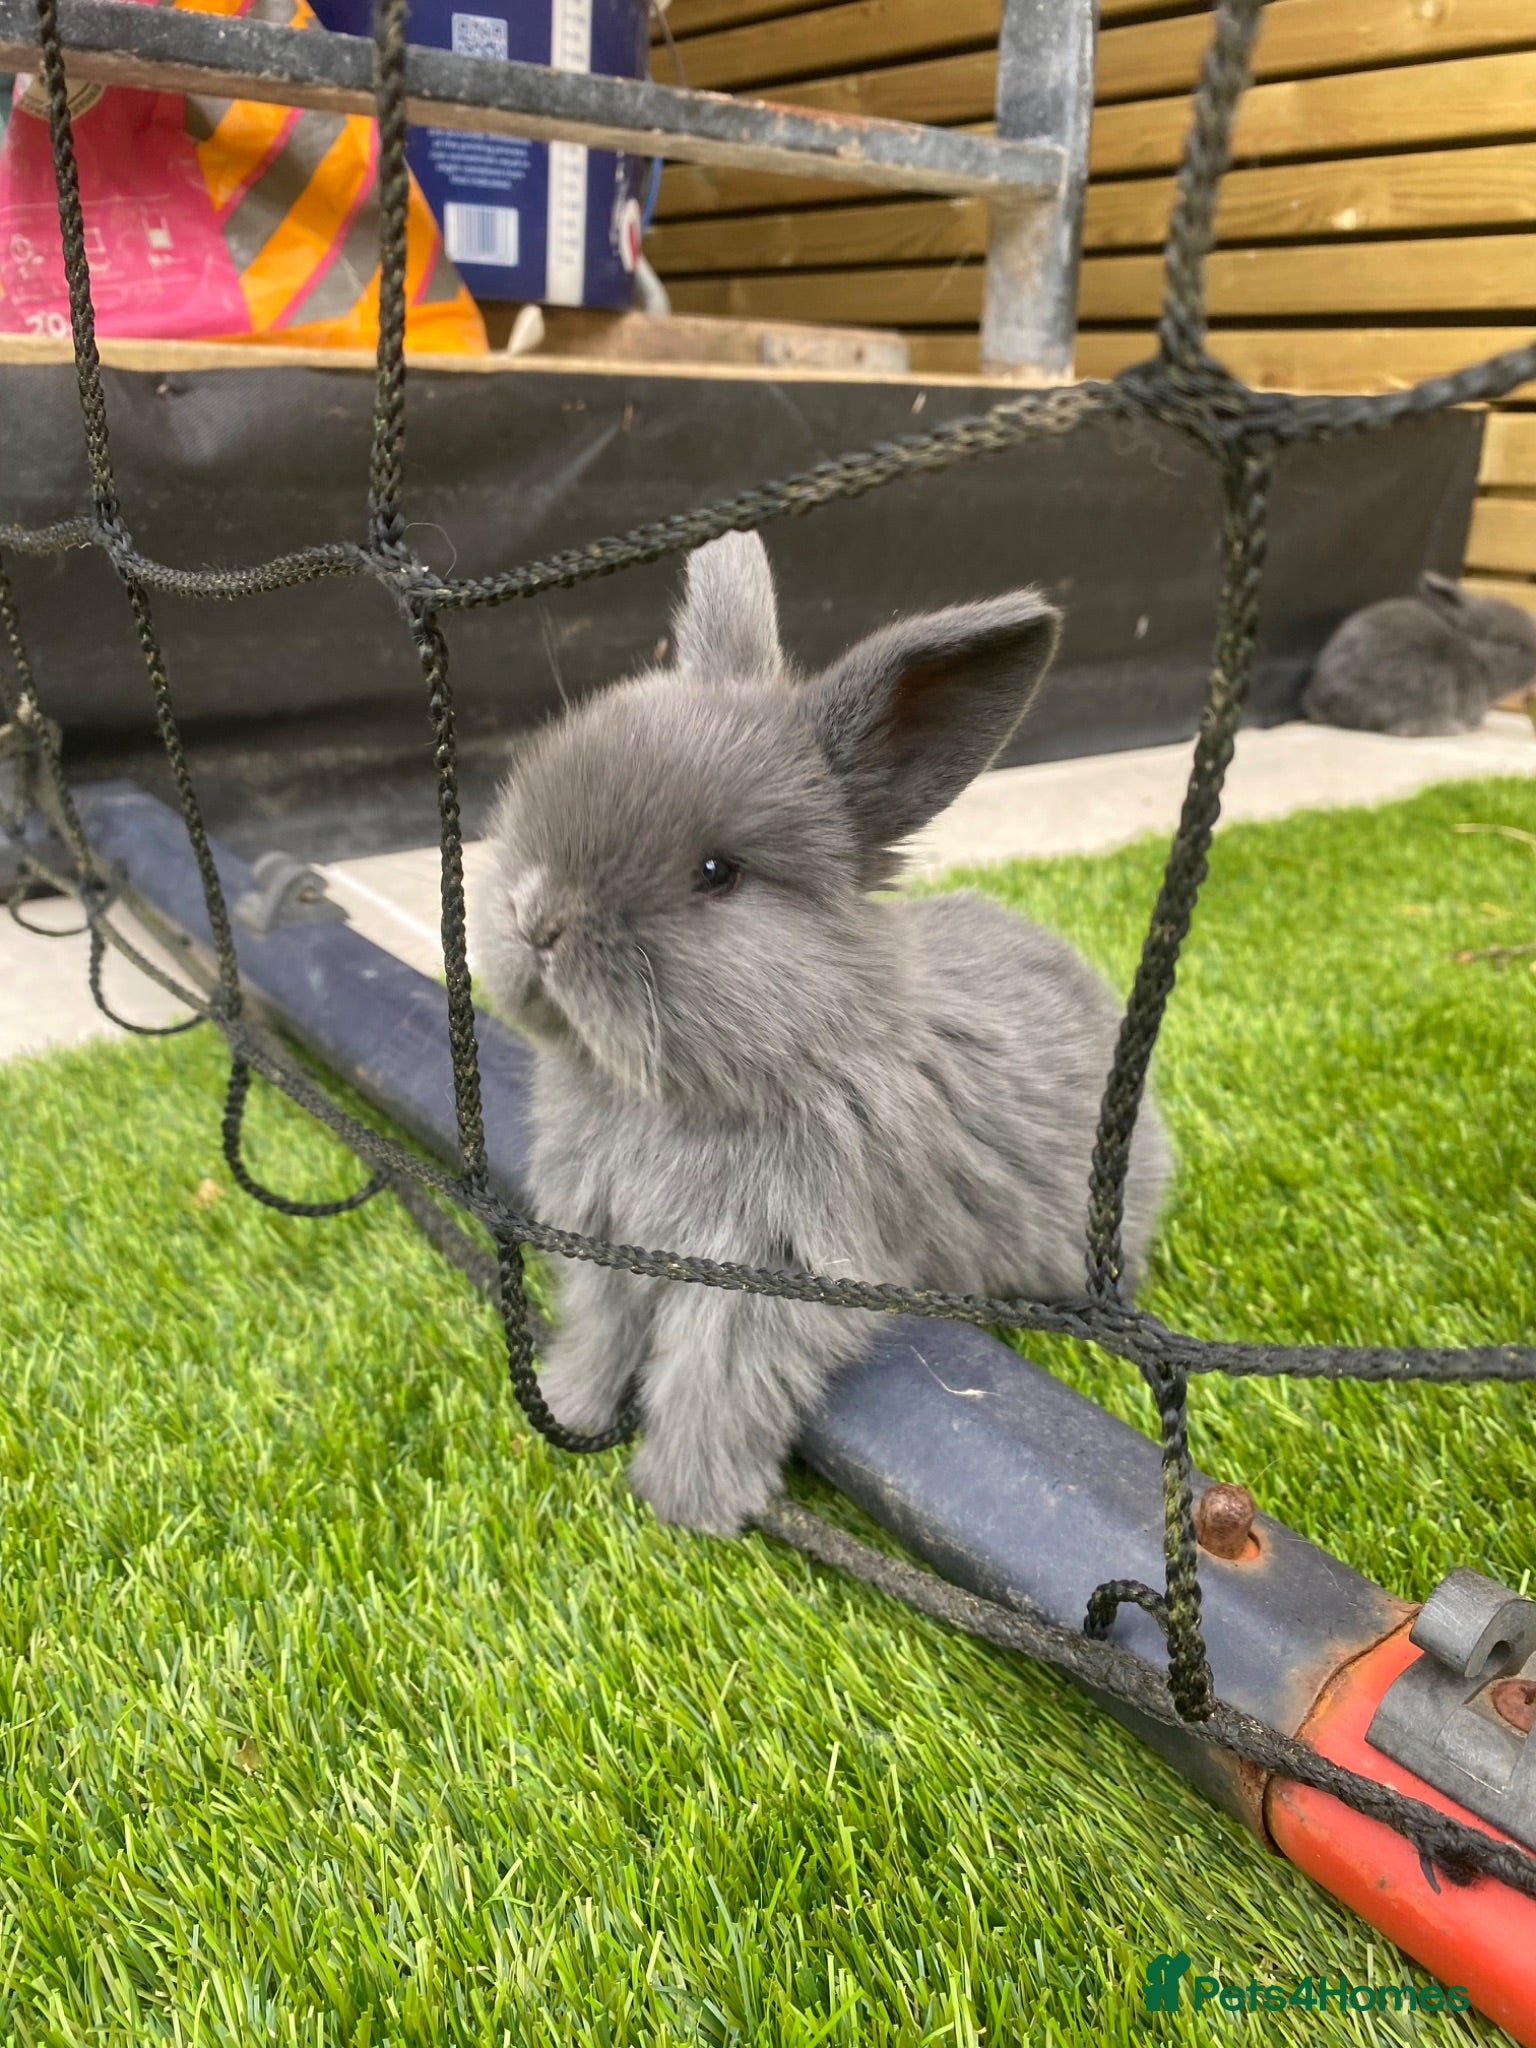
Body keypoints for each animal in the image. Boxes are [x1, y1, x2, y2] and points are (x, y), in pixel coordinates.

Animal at [477, 532, 1171, 1535]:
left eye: (718, 873)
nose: (536, 919)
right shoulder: (603, 1247)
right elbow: (601, 1336)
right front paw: (567, 1408)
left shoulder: (772, 1278)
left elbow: (714, 1384)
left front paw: (684, 1503)